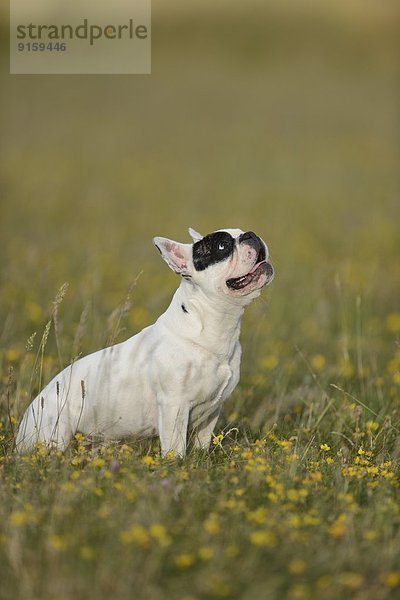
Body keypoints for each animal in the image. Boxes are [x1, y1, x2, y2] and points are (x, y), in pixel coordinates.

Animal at [14, 229, 272, 454]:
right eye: (222, 246)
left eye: (243, 231)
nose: (251, 235)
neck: (214, 325)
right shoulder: (174, 406)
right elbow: (175, 448)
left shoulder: (211, 413)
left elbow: (202, 442)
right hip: (56, 432)